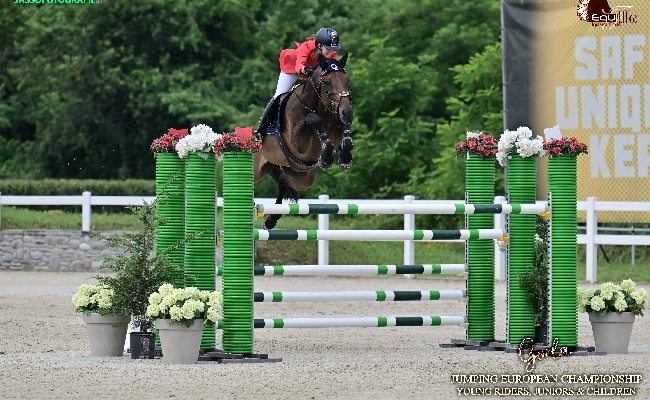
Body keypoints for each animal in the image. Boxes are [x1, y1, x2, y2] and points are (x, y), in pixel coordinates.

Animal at [254, 53, 354, 230]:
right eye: (327, 82)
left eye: (347, 81)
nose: (347, 112)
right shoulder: (297, 141)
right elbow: (313, 118)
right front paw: (326, 159)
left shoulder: (336, 128)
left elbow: (344, 137)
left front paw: (343, 159)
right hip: (257, 168)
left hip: (301, 176)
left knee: (283, 180)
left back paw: (271, 220)